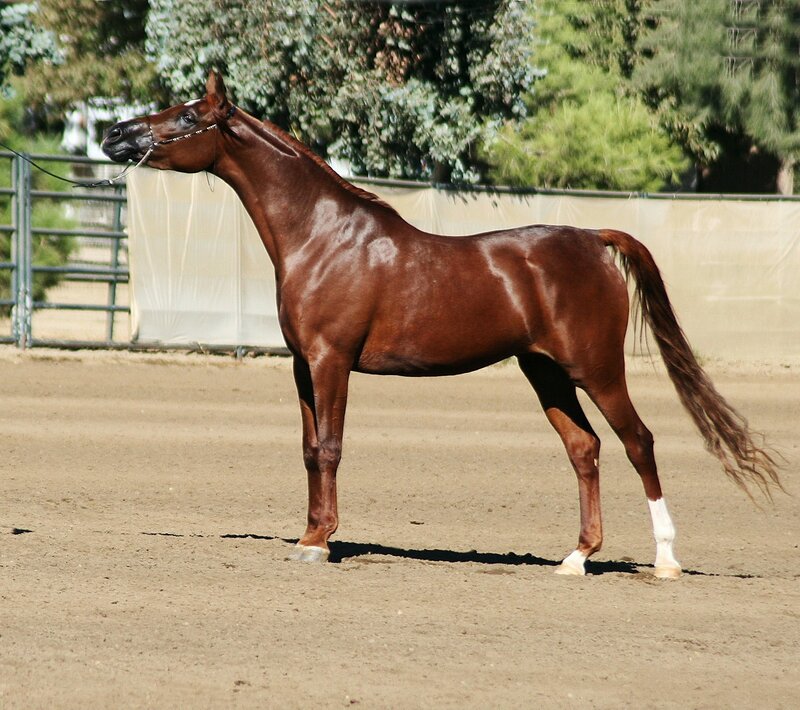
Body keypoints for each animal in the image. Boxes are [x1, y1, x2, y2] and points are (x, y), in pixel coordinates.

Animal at [102, 71, 780, 577]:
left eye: (187, 116)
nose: (114, 134)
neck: (323, 237)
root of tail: (593, 237)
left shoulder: (331, 361)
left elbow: (330, 448)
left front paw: (319, 543)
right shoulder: (302, 367)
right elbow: (309, 450)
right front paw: (308, 534)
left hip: (596, 368)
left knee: (639, 442)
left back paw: (665, 560)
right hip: (546, 373)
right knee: (584, 449)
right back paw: (575, 558)